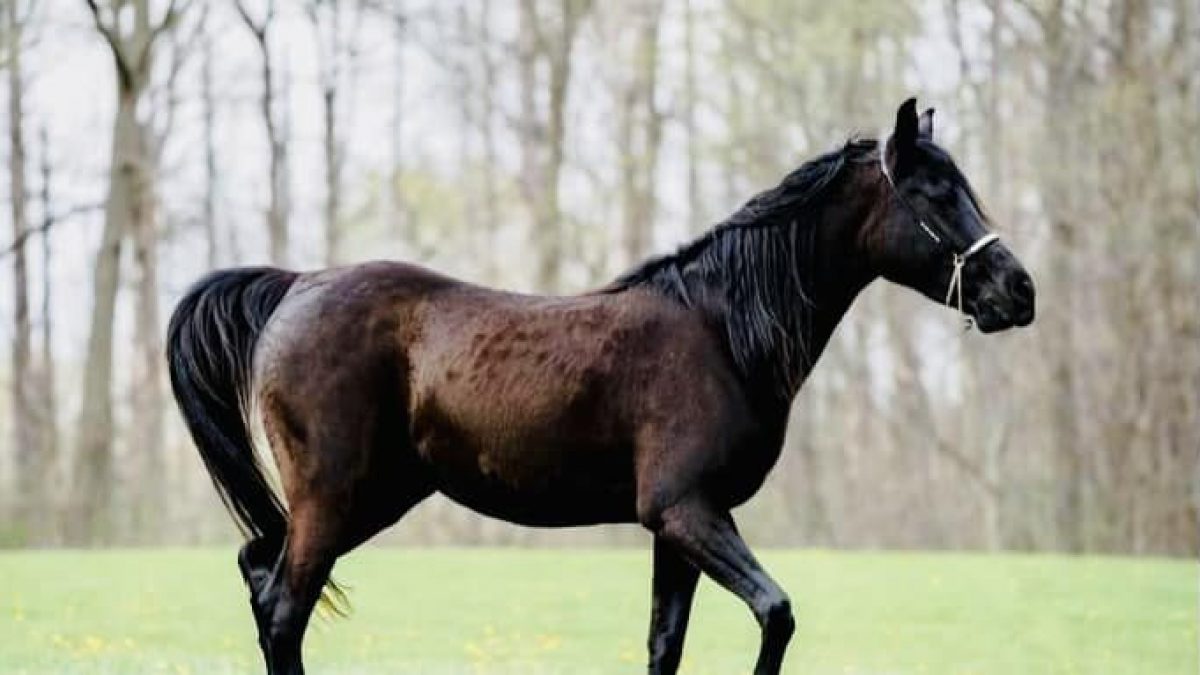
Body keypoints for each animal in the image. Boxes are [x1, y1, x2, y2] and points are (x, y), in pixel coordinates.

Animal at [166, 99, 1034, 675]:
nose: (1018, 291)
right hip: (335, 499)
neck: (722, 331)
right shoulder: (685, 509)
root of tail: (297, 284)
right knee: (283, 610)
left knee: (259, 574)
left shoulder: (676, 527)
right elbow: (776, 615)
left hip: (369, 498)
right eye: (933, 194)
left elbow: (665, 643)